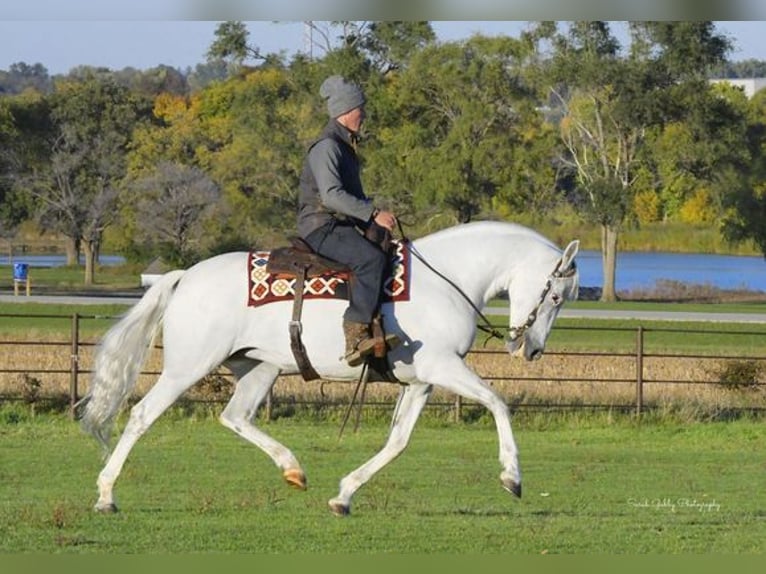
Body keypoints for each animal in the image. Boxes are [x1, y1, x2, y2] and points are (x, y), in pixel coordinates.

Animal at [79, 220, 584, 516]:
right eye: (557, 295)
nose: (531, 349)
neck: (448, 280)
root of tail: (186, 276)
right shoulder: (443, 367)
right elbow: (498, 402)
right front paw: (512, 477)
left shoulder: (420, 382)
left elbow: (397, 443)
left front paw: (344, 494)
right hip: (186, 367)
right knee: (142, 416)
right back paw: (105, 495)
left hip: (259, 369)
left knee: (235, 417)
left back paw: (293, 469)